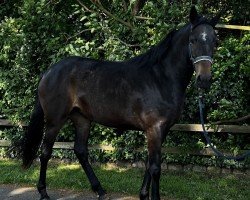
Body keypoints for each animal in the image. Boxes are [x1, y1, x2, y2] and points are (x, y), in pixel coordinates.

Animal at [22, 6, 219, 200]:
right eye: (193, 40)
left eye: (215, 41)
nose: (204, 79)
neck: (160, 78)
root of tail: (49, 71)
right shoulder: (154, 129)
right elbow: (155, 168)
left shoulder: (161, 131)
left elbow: (149, 164)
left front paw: (143, 195)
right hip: (55, 120)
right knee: (45, 152)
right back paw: (44, 192)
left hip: (82, 118)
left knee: (80, 151)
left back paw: (100, 190)